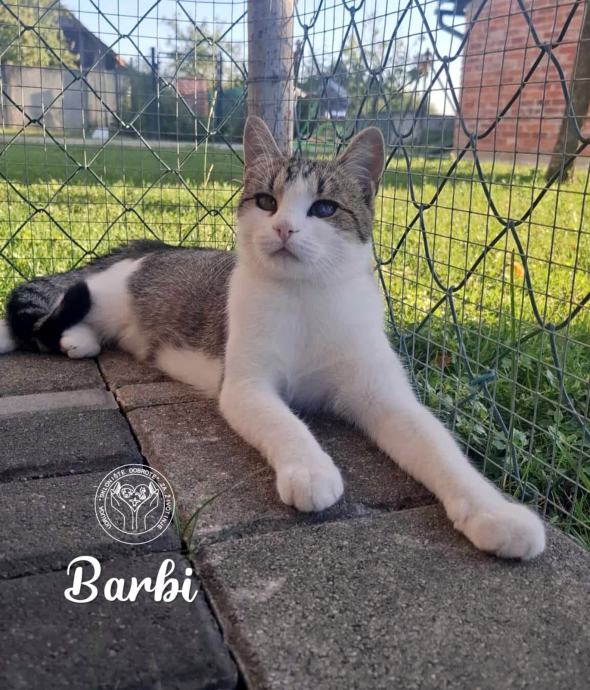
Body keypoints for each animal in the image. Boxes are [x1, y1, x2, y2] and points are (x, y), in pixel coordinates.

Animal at [0, 116, 545, 560]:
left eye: (324, 208)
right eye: (266, 201)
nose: (283, 227)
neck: (307, 299)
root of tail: (153, 246)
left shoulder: (386, 397)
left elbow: (441, 451)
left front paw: (497, 514)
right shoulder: (246, 387)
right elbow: (286, 424)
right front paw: (310, 469)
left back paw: (78, 342)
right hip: (105, 294)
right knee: (60, 301)